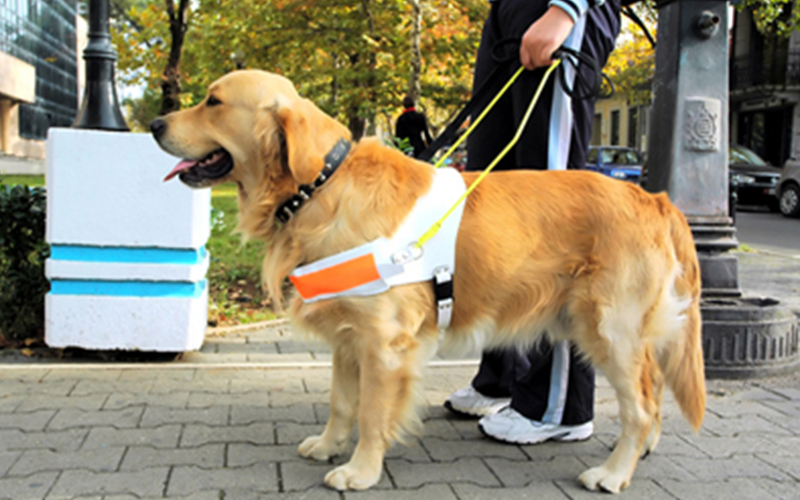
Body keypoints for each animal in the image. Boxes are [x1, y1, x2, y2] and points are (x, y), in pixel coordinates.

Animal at [152, 69, 708, 492]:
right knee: (654, 391)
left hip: (609, 329)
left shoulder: (384, 343)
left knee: (641, 405)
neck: (320, 187)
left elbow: (372, 413)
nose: (156, 121)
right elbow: (341, 401)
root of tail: (654, 198)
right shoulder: (348, 335)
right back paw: (644, 450)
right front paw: (329, 445)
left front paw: (359, 470)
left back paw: (613, 473)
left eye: (213, 101)